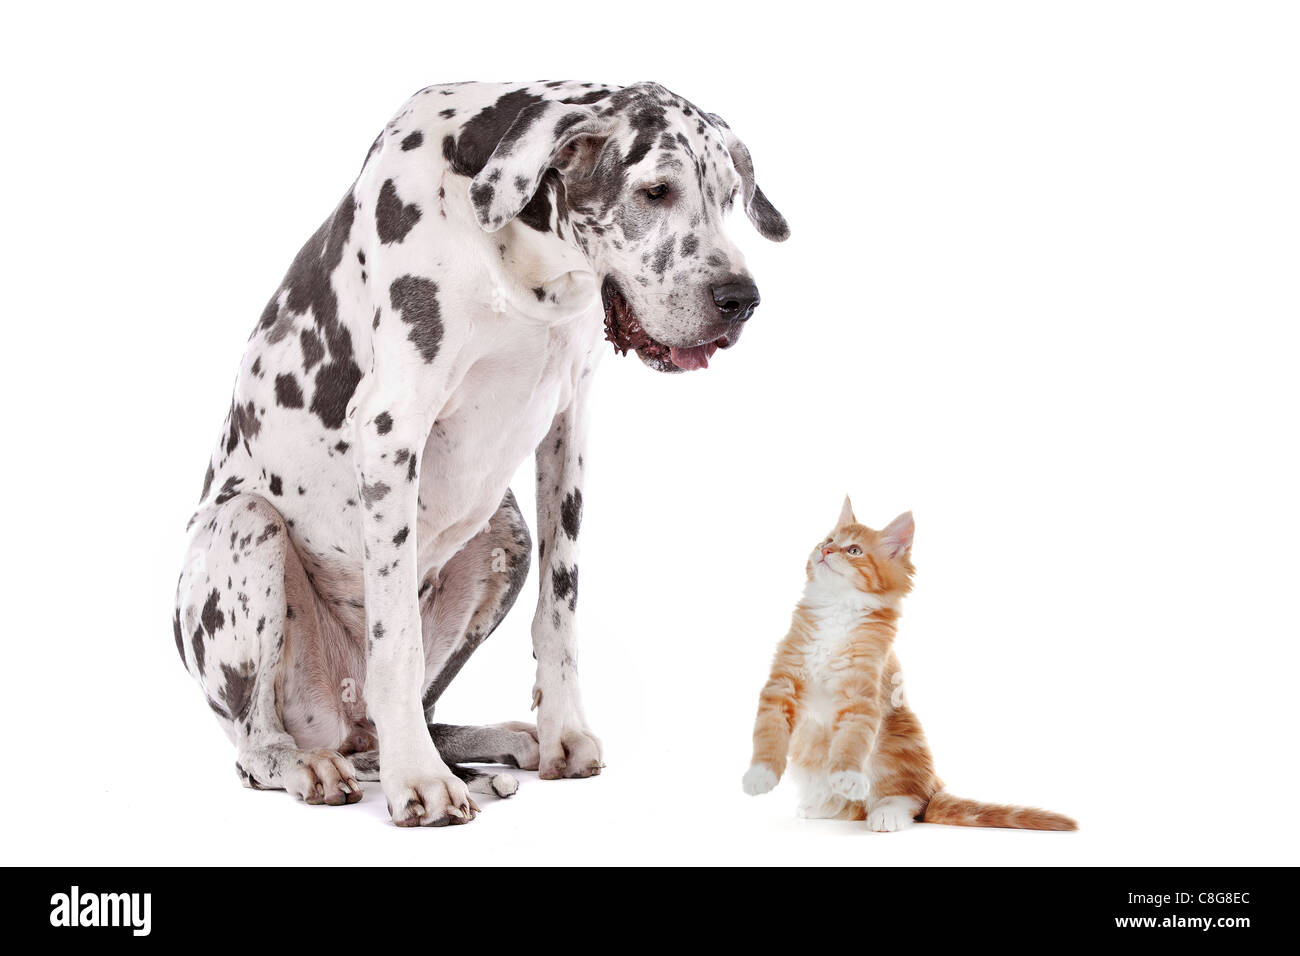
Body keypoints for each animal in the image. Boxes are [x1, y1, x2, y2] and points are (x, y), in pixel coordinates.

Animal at [170, 82, 780, 827]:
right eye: (655, 191)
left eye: (728, 194)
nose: (740, 299)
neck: (525, 268)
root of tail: (341, 730)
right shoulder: (391, 429)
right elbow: (395, 641)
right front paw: (419, 781)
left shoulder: (568, 425)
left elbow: (560, 607)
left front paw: (561, 731)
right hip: (246, 528)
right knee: (258, 743)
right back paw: (317, 763)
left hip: (505, 529)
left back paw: (497, 743)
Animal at [743, 502, 1076, 832]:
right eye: (828, 540)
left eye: (854, 550)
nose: (825, 551)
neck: (837, 611)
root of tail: (935, 788)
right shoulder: (781, 683)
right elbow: (768, 732)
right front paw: (760, 775)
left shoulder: (862, 694)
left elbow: (851, 740)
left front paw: (847, 774)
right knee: (855, 807)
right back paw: (822, 805)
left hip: (899, 743)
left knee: (910, 800)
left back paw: (885, 812)